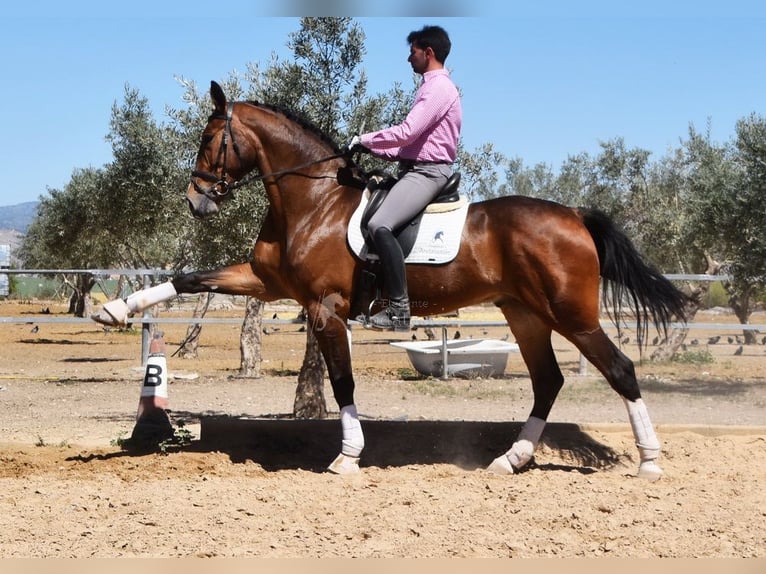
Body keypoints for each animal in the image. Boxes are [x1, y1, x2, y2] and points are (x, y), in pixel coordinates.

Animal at [94, 81, 688, 482]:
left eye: (210, 137)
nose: (195, 200)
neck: (313, 201)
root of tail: (573, 215)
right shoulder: (265, 281)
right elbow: (190, 277)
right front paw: (117, 308)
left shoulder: (325, 307)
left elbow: (343, 384)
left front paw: (347, 457)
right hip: (526, 315)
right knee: (548, 382)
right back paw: (509, 459)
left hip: (571, 315)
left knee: (620, 369)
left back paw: (650, 462)